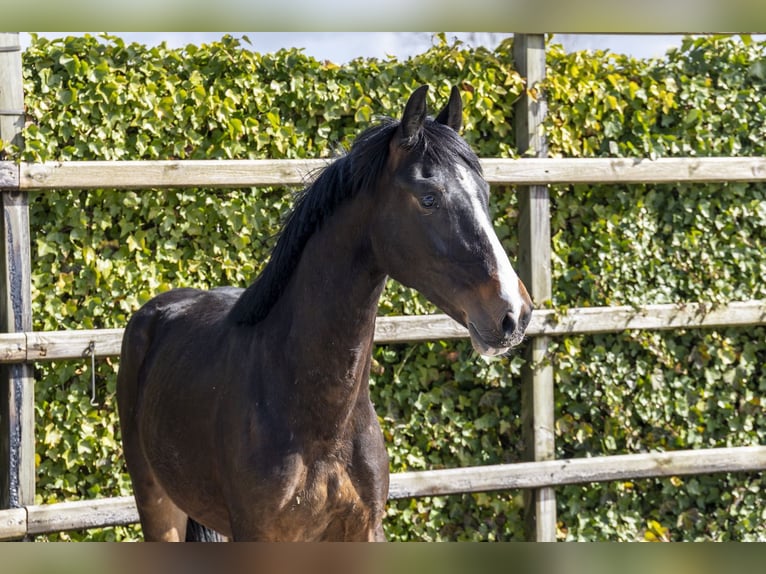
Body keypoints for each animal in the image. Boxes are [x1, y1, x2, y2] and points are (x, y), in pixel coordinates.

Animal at [116, 85, 533, 542]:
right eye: (429, 198)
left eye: (485, 196)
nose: (513, 313)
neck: (320, 423)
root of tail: (156, 312)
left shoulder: (363, 530)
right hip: (158, 504)